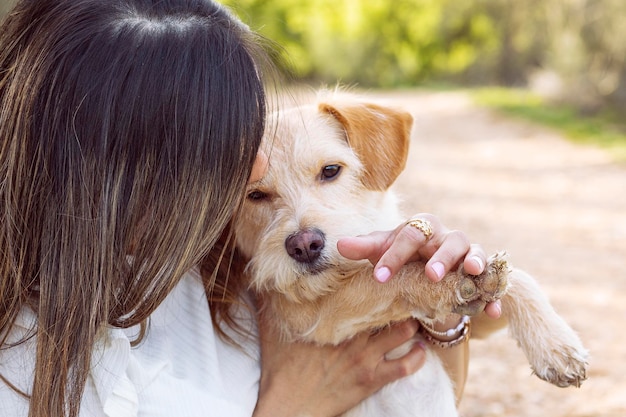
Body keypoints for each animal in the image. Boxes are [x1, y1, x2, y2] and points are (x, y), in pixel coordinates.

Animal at [232, 92, 588, 416]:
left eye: (331, 170)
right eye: (255, 195)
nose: (304, 245)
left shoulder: (479, 322)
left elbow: (519, 279)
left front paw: (556, 344)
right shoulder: (309, 315)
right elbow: (382, 279)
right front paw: (449, 281)